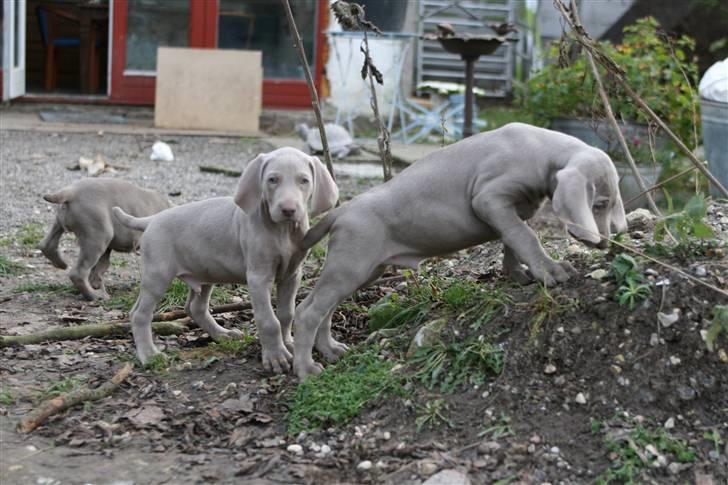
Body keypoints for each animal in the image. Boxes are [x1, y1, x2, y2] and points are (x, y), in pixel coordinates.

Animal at [38, 178, 172, 298]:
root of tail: (71, 192)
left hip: (62, 221)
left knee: (47, 243)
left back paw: (61, 263)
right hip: (97, 236)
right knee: (78, 273)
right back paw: (95, 296)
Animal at [113, 147, 338, 370]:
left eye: (304, 180)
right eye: (272, 180)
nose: (288, 210)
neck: (282, 231)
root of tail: (152, 220)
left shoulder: (292, 274)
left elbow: (286, 314)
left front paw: (289, 343)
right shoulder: (258, 277)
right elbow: (268, 320)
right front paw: (276, 357)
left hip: (203, 271)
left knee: (195, 308)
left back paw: (223, 334)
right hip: (157, 275)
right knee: (140, 314)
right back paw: (149, 355)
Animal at [292, 123, 628, 380]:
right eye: (599, 204)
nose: (605, 243)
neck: (539, 151)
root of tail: (342, 211)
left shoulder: (511, 210)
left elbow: (513, 239)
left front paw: (517, 273)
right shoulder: (488, 198)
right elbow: (526, 236)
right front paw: (550, 270)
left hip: (360, 271)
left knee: (323, 308)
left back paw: (330, 349)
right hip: (350, 265)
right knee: (308, 312)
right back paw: (306, 368)